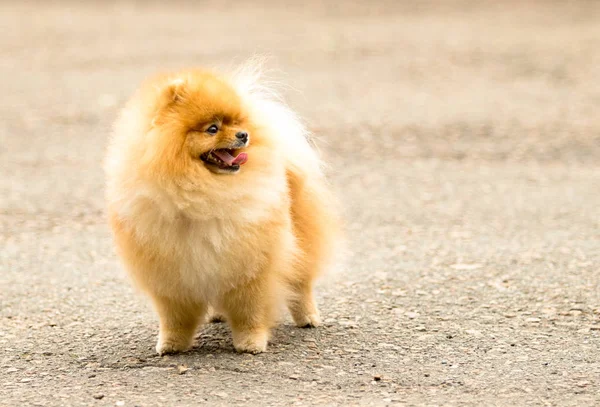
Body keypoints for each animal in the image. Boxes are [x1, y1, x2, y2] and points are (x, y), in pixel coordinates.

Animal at [103, 62, 338, 356]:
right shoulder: (170, 274)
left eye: (237, 122)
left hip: (299, 242)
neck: (201, 196)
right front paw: (171, 344)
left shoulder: (252, 266)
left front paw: (251, 343)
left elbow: (250, 310)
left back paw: (307, 317)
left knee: (301, 283)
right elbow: (174, 316)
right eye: (212, 129)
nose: (244, 134)